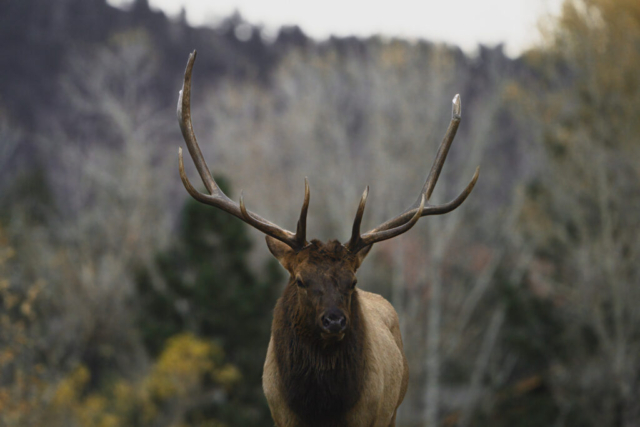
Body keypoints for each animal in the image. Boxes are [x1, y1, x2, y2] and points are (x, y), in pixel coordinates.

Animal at [178, 51, 478, 427]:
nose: (334, 320)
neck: (320, 408)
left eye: (352, 281)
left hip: (393, 410)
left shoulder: (368, 416)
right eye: (301, 279)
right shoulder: (280, 414)